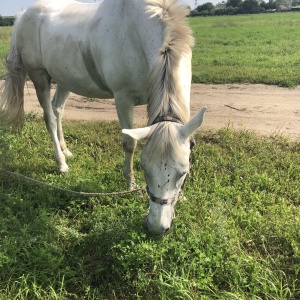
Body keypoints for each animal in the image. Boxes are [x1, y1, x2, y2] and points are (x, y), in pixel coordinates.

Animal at [0, 0, 206, 234]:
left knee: (57, 110)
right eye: (144, 169)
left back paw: (66, 150)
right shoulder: (122, 98)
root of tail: (24, 14)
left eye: (183, 172)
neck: (137, 32)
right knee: (50, 118)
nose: (156, 227)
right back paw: (61, 162)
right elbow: (129, 143)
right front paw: (131, 184)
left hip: (64, 79)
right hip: (39, 77)